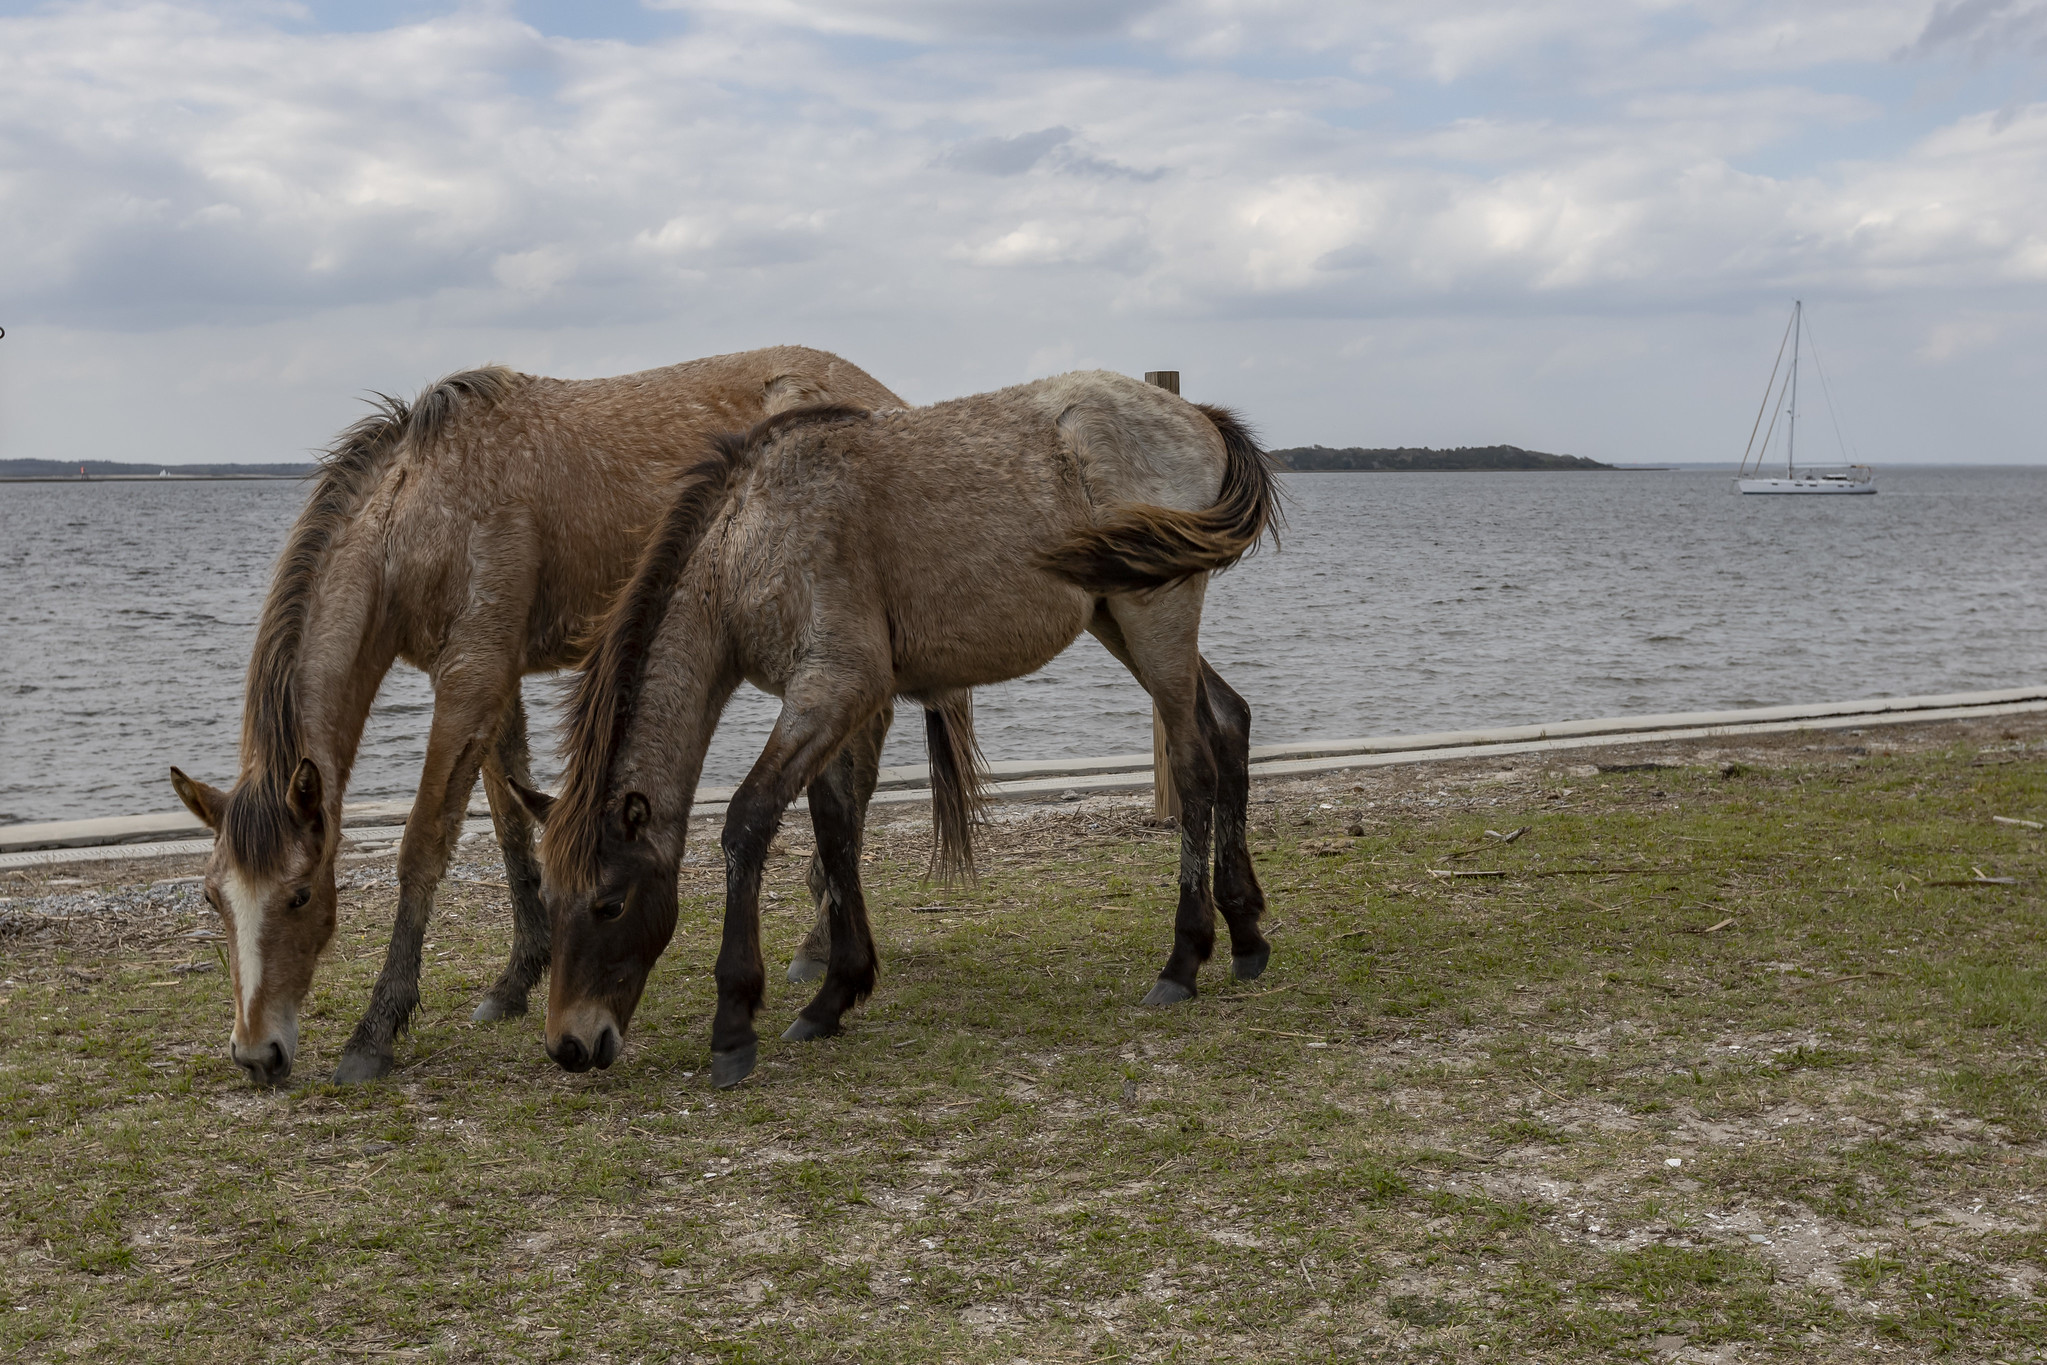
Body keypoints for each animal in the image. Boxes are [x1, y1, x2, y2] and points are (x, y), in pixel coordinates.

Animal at [159, 343, 974, 1088]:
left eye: (298, 896)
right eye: (213, 898)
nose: (256, 1053)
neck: (421, 508)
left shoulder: (472, 676)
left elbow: (424, 842)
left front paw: (376, 1029)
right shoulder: (495, 680)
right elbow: (510, 826)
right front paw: (518, 978)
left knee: (854, 772)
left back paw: (818, 947)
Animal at [532, 370, 1277, 1088]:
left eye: (609, 904)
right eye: (550, 900)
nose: (571, 1045)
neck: (752, 539)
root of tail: (1198, 416)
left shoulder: (836, 686)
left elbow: (749, 820)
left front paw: (734, 1025)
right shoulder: (831, 704)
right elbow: (835, 828)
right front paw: (834, 994)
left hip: (1155, 618)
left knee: (1194, 764)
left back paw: (1182, 963)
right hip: (1115, 618)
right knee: (1228, 721)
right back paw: (1245, 934)